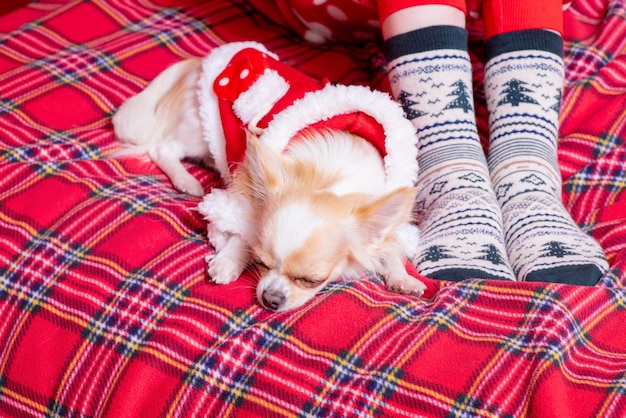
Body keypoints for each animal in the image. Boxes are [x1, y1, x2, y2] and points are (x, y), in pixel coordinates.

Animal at [112, 41, 424, 310]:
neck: (332, 179)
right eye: (260, 262)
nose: (271, 298)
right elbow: (242, 229)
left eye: (312, 281)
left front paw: (402, 277)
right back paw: (186, 180)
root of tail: (201, 62)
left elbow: (390, 247)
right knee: (164, 148)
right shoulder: (247, 194)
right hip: (197, 131)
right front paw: (229, 260)